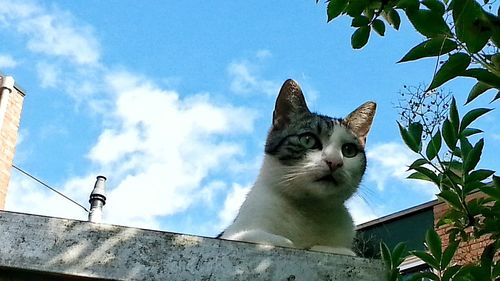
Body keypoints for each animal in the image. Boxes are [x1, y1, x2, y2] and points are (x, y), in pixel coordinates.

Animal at [219, 78, 376, 254]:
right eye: (308, 140)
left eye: (349, 150)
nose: (334, 161)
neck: (309, 211)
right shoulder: (232, 234)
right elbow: (266, 239)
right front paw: (289, 243)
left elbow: (342, 250)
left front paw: (324, 247)